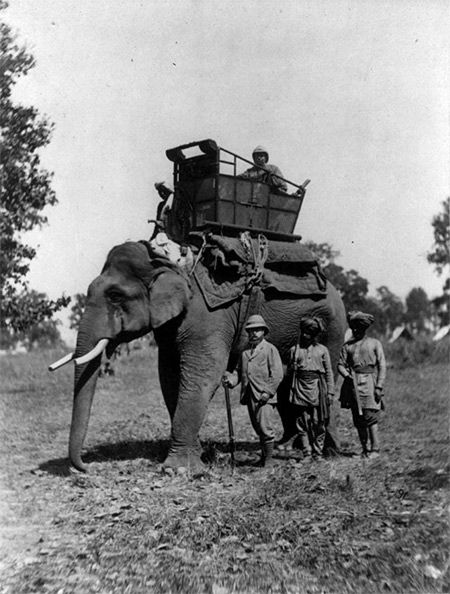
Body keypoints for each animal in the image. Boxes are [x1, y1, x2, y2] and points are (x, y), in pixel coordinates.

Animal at [53, 238, 348, 470]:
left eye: (115, 295)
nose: (86, 467)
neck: (169, 262)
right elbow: (169, 376)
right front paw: (200, 455)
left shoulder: (208, 317)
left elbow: (203, 373)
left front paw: (177, 470)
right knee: (287, 382)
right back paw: (288, 446)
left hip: (332, 327)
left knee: (324, 380)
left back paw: (328, 451)